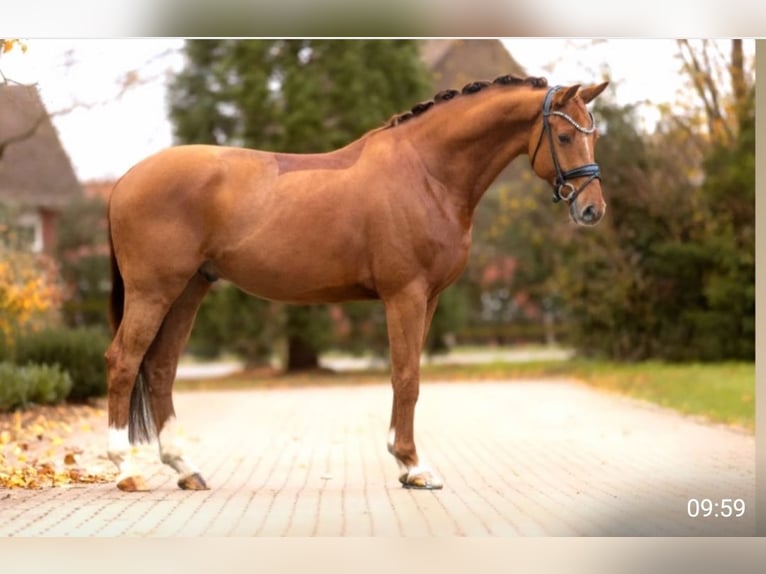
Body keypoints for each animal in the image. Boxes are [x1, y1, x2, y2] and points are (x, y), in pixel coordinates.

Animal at [105, 75, 609, 492]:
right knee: (124, 361)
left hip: (189, 288)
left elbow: (411, 373)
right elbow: (405, 377)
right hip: (153, 291)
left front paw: (405, 464)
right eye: (564, 135)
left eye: (594, 135)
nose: (592, 210)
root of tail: (125, 179)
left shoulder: (429, 299)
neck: (427, 171)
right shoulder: (405, 294)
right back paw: (127, 469)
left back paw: (185, 469)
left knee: (160, 368)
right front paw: (413, 466)